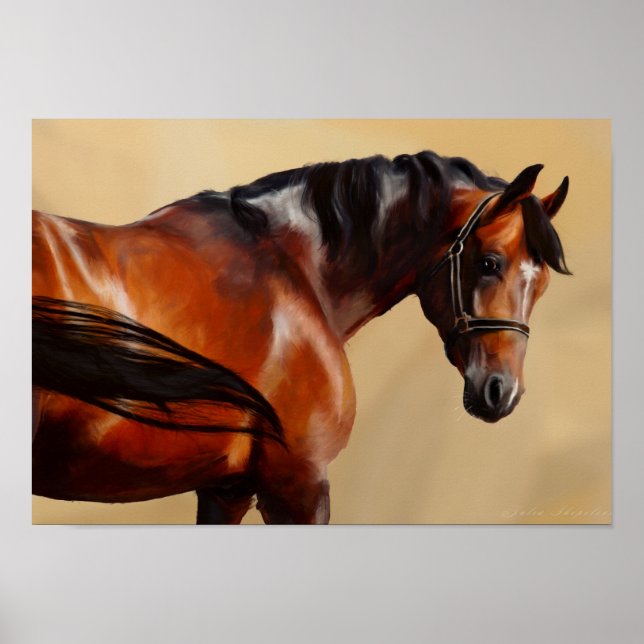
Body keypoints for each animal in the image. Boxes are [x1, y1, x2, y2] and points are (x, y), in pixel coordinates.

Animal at [32, 151, 570, 524]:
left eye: (542, 283)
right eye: (489, 264)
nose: (502, 391)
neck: (292, 269)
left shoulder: (227, 488)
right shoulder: (297, 483)